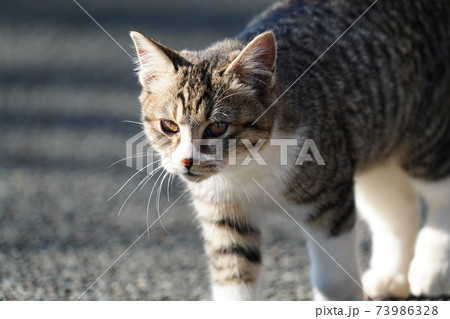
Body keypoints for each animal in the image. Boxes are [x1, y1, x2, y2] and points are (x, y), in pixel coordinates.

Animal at [128, 0, 450, 300]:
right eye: (169, 126)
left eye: (217, 127)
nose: (187, 161)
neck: (246, 167)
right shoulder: (224, 214)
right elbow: (233, 275)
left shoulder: (330, 199)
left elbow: (334, 279)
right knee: (396, 206)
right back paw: (390, 277)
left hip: (424, 133)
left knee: (439, 191)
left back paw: (431, 270)